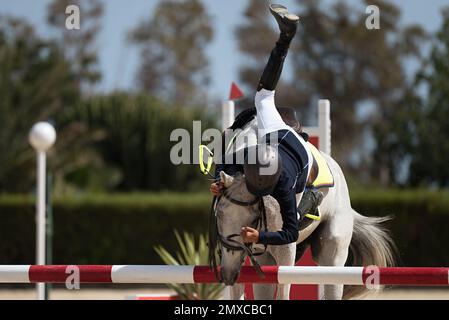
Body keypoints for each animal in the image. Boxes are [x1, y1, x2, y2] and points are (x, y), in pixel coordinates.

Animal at [208, 117, 394, 300]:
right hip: (266, 259)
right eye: (220, 215)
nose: (228, 274)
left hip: (332, 255)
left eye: (254, 218)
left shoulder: (286, 248)